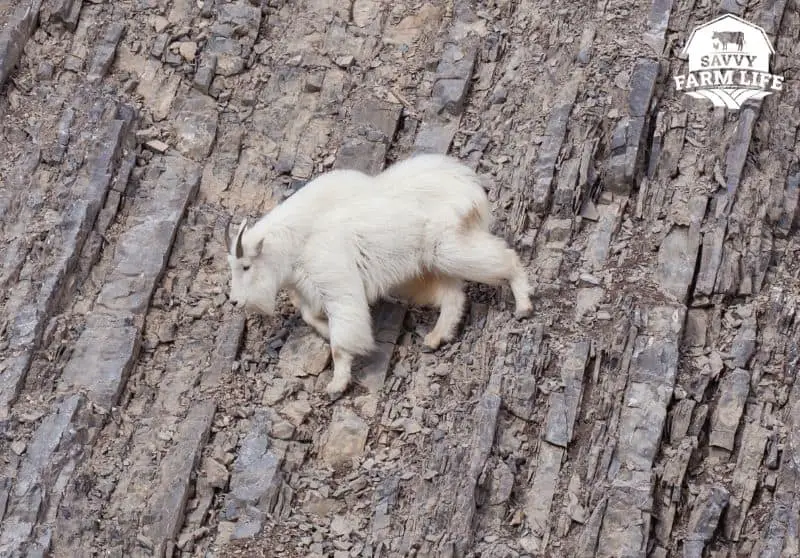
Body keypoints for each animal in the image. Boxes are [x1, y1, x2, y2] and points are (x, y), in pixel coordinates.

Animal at [224, 153, 533, 398]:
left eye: (246, 266)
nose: (235, 302)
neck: (292, 244)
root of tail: (468, 186)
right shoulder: (310, 289)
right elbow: (310, 315)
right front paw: (325, 332)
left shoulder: (335, 280)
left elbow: (342, 338)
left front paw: (336, 384)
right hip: (422, 271)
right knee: (452, 295)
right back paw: (436, 337)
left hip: (448, 248)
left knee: (504, 259)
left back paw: (523, 305)